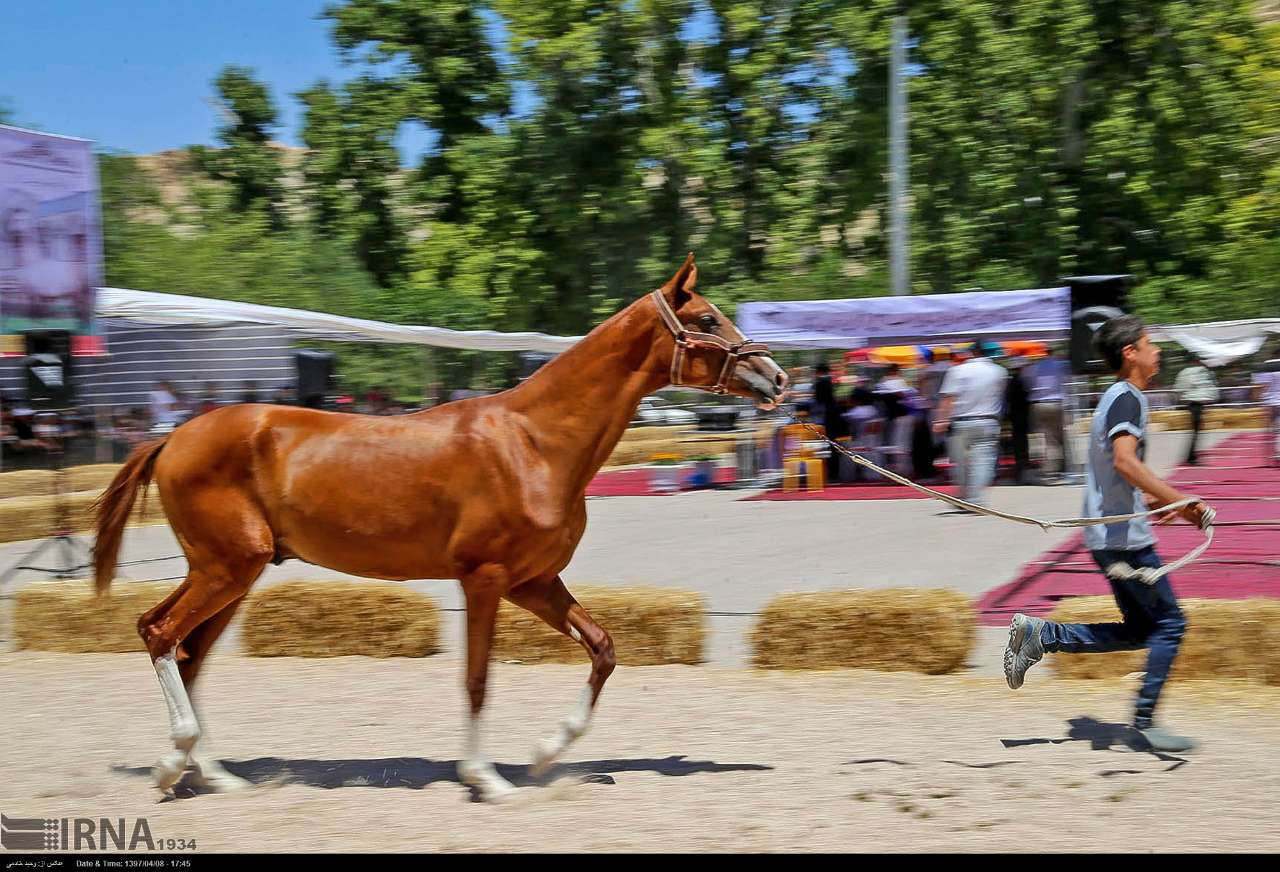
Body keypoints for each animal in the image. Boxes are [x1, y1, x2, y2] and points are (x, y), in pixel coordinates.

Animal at [90, 249, 783, 793]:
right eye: (706, 319)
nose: (775, 377)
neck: (534, 443)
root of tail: (172, 438)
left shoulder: (533, 583)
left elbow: (604, 649)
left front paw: (542, 756)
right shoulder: (484, 578)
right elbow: (476, 678)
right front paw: (486, 778)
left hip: (233, 574)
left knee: (187, 655)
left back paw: (208, 773)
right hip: (227, 567)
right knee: (161, 635)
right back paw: (174, 765)